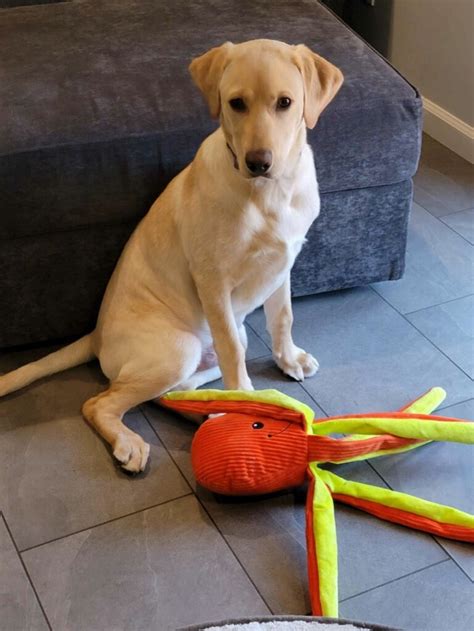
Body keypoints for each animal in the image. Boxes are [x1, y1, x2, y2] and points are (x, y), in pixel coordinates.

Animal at [0, 39, 340, 472]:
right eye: (236, 103)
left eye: (285, 102)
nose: (258, 162)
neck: (269, 194)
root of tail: (96, 336)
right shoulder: (213, 281)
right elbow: (232, 353)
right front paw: (247, 402)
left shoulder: (283, 263)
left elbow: (283, 317)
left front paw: (289, 359)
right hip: (178, 350)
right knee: (99, 402)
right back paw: (131, 442)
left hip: (216, 347)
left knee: (169, 393)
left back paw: (205, 410)